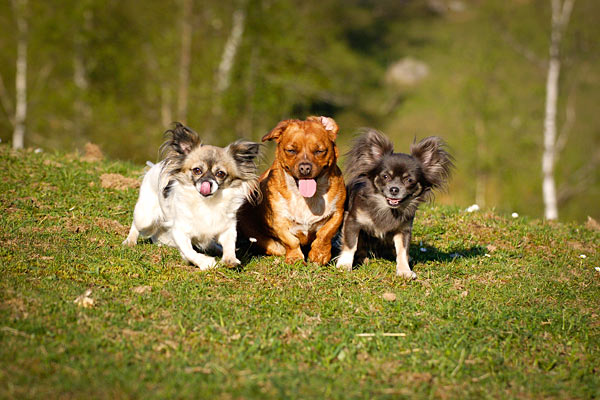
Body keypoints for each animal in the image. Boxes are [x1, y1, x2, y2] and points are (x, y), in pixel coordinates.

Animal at [123, 123, 258, 270]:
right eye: (197, 170)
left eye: (220, 174)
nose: (207, 183)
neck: (207, 203)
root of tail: (154, 166)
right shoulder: (180, 231)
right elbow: (189, 251)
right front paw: (205, 262)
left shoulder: (227, 229)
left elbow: (229, 245)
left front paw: (230, 259)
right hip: (145, 217)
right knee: (136, 225)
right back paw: (130, 241)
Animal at [237, 115, 344, 266]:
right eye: (291, 150)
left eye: (319, 151)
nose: (305, 168)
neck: (306, 199)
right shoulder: (279, 220)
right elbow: (291, 241)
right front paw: (295, 258)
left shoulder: (337, 213)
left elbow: (325, 234)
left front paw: (319, 254)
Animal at [336, 130, 452, 280]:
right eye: (385, 176)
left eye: (409, 180)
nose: (394, 189)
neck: (387, 208)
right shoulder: (352, 221)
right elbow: (350, 245)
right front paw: (344, 265)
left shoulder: (403, 230)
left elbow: (402, 251)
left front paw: (404, 270)